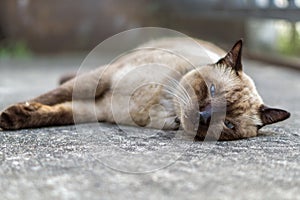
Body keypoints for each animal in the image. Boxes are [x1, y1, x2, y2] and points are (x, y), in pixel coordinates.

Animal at [0, 37, 290, 141]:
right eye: (212, 90)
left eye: (228, 124)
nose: (205, 117)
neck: (165, 106)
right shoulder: (103, 78)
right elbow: (50, 97)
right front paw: (9, 114)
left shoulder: (97, 109)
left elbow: (54, 112)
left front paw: (15, 117)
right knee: (66, 83)